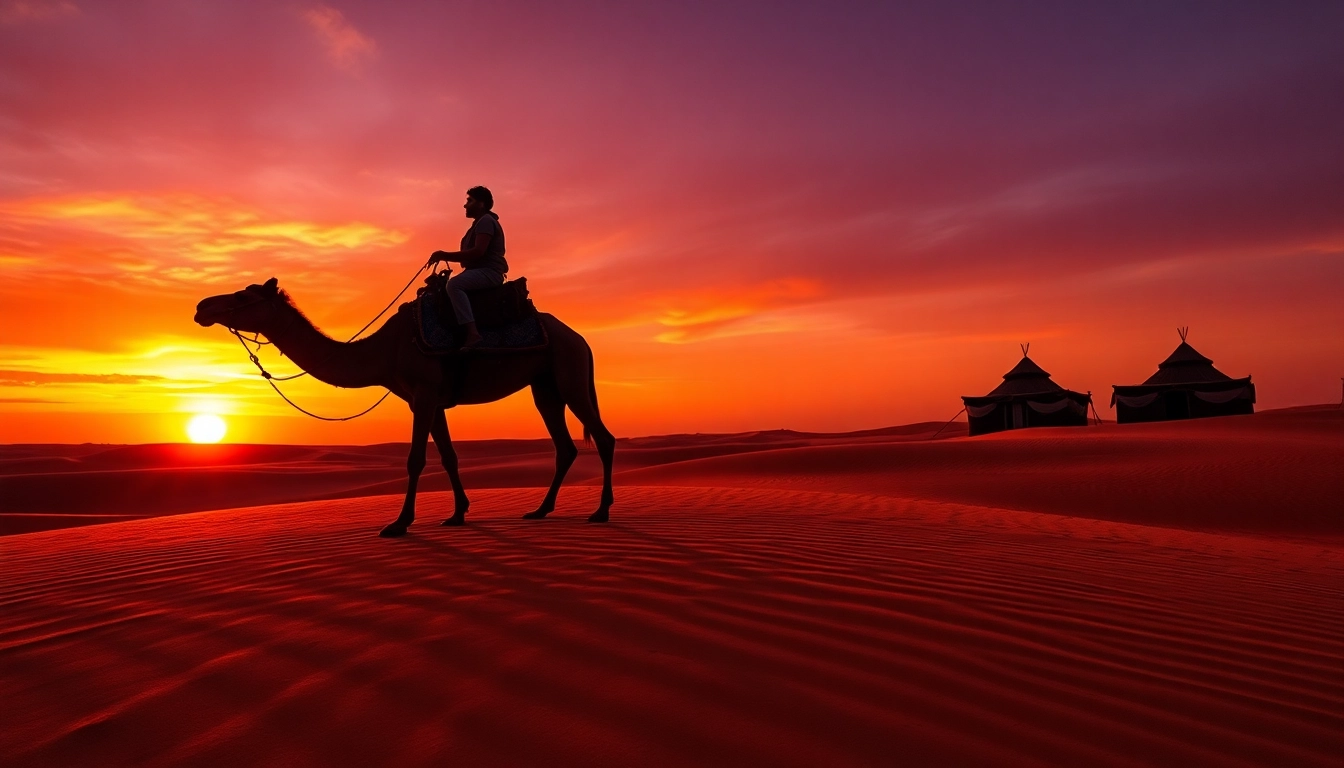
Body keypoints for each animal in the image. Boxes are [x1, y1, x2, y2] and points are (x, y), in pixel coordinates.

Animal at [194, 277, 615, 536]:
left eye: (243, 297)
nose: (201, 306)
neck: (385, 350)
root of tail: (580, 338)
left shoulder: (424, 394)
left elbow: (416, 459)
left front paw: (399, 524)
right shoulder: (433, 400)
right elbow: (449, 457)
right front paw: (457, 514)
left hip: (570, 372)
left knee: (604, 438)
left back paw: (601, 511)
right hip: (545, 386)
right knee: (565, 446)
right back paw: (541, 510)